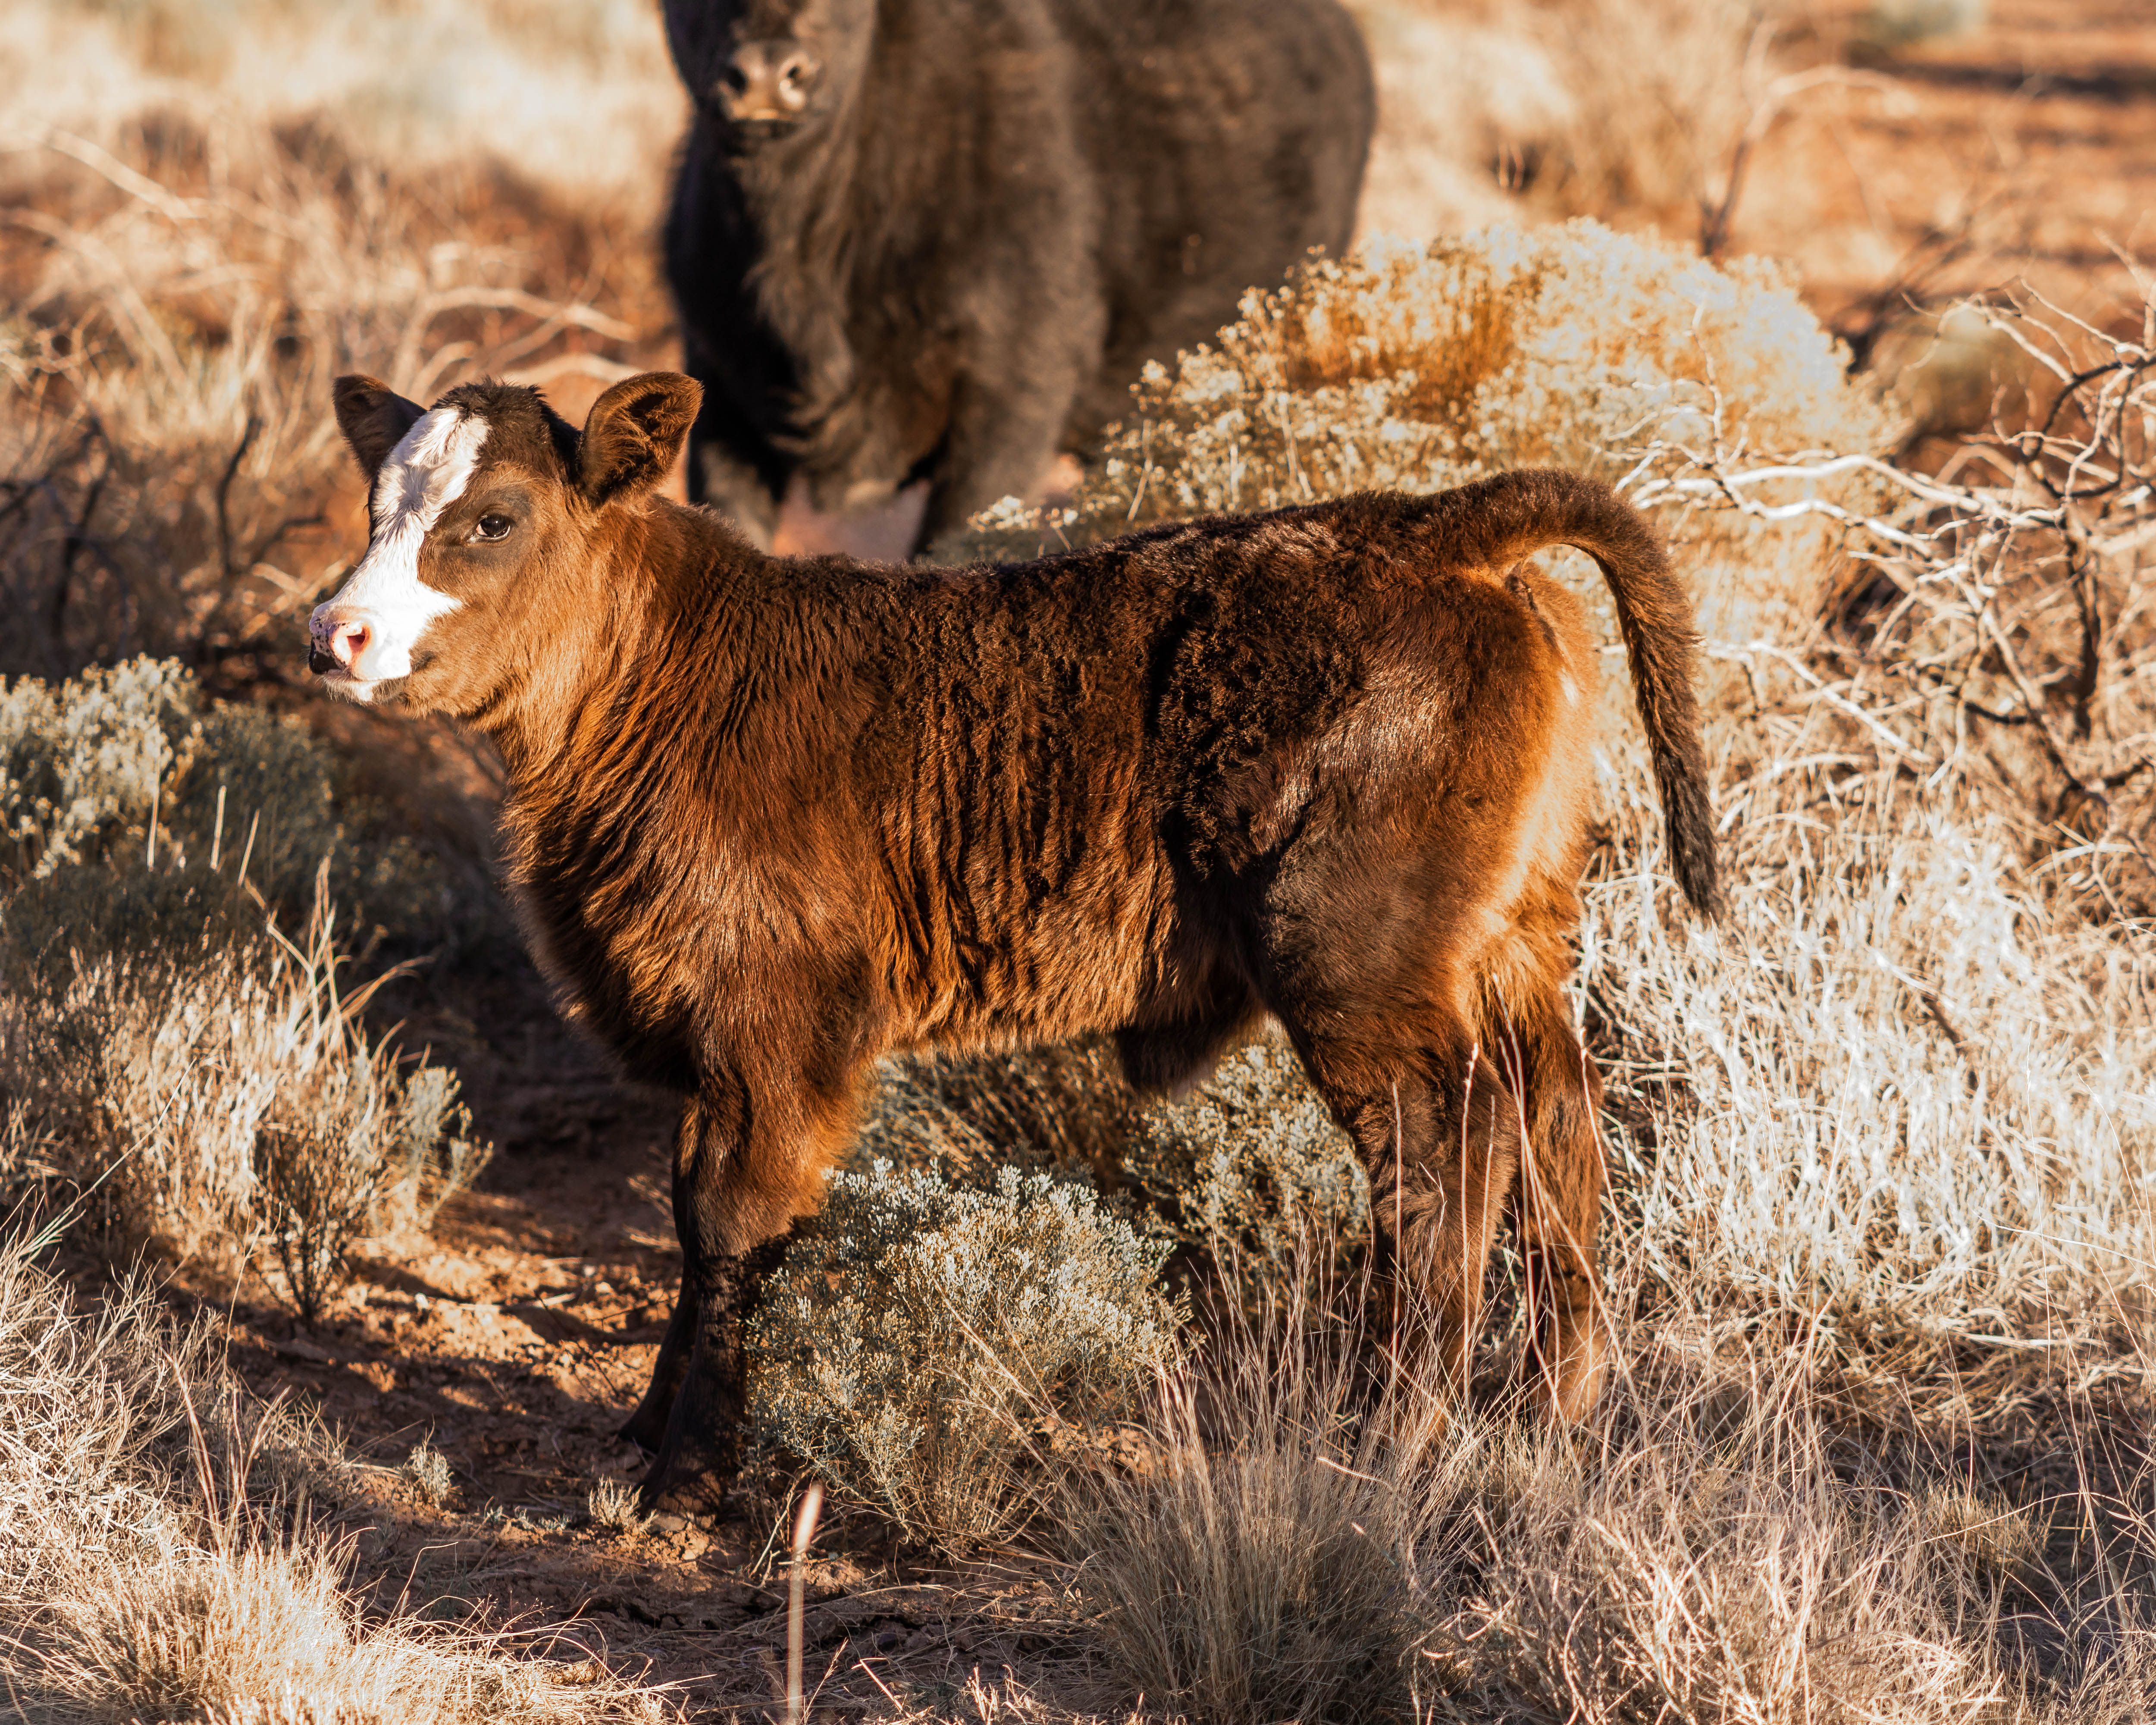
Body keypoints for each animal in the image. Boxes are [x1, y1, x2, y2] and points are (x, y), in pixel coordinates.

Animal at [309, 371, 1718, 1510]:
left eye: (494, 518)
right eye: (374, 503)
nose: (334, 633)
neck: (670, 681)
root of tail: (1434, 527)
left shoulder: (780, 1028)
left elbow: (733, 1223)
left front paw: (690, 1480)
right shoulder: (711, 1039)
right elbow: (689, 1216)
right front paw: (647, 1432)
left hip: (1356, 964)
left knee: (1446, 1152)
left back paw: (1387, 1445)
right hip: (1518, 942)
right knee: (1558, 1123)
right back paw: (1553, 1413)